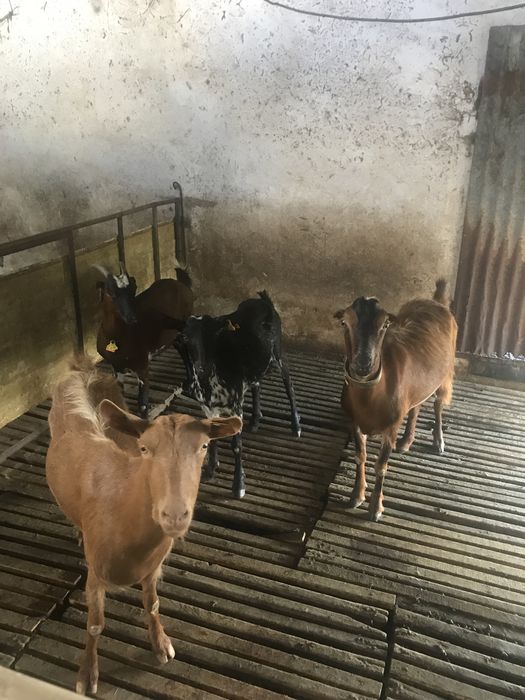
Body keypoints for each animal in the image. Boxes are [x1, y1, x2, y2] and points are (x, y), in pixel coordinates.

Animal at [45, 356, 241, 695]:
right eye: (146, 448)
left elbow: (152, 605)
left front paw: (161, 644)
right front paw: (87, 674)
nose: (174, 515)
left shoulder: (152, 569)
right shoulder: (96, 574)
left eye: (204, 447)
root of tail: (82, 368)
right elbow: (94, 625)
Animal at [95, 263, 193, 418]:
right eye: (110, 292)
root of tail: (181, 284)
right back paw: (188, 382)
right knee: (181, 349)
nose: (131, 317)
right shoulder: (116, 367)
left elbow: (142, 404)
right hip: (173, 335)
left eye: (132, 291)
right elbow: (120, 398)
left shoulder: (142, 365)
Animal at [181, 291, 301, 498]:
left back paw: (295, 424)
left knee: (290, 387)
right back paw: (255, 420)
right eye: (186, 339)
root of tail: (263, 301)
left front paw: (239, 486)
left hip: (279, 354)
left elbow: (236, 446)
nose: (201, 366)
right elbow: (211, 435)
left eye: (214, 335)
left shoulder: (235, 406)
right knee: (257, 385)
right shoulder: (208, 408)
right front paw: (211, 469)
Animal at [335, 279, 457, 522]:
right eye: (344, 322)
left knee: (438, 405)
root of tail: (436, 301)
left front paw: (375, 508)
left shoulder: (391, 427)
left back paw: (438, 441)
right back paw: (406, 441)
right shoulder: (353, 422)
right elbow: (360, 456)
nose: (363, 364)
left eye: (384, 325)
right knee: (416, 406)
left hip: (446, 374)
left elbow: (381, 466)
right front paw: (356, 496)